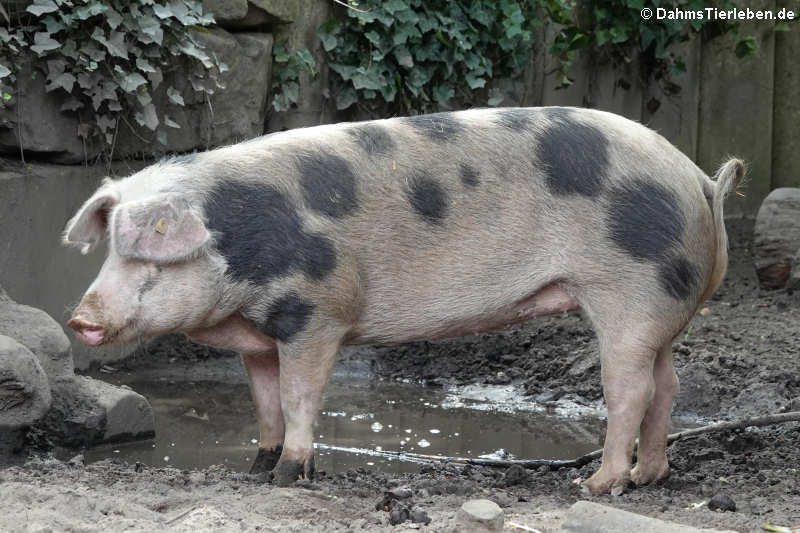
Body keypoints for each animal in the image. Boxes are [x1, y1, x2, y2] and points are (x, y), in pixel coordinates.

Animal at [62, 106, 744, 492]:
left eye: (148, 257)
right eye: (110, 252)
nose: (78, 318)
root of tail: (701, 182)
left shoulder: (317, 311)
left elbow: (299, 397)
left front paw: (287, 479)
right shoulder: (258, 337)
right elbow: (264, 403)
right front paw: (254, 470)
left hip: (630, 293)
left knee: (629, 390)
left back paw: (596, 487)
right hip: (662, 308)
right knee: (668, 385)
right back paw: (649, 477)